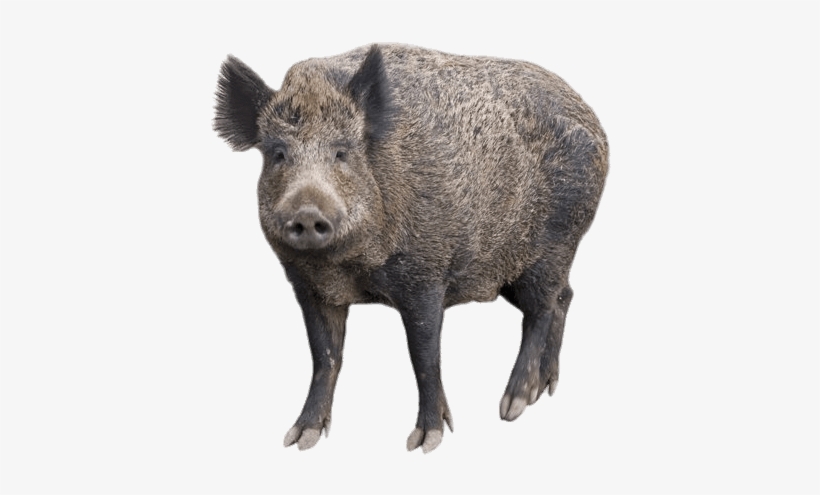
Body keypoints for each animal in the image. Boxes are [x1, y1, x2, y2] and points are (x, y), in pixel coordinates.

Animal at [213, 43, 608, 453]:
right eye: (278, 153)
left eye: (342, 152)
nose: (307, 212)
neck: (348, 267)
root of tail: (596, 123)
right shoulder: (308, 286)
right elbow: (325, 357)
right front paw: (299, 439)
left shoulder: (426, 276)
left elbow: (424, 356)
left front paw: (425, 442)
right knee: (565, 296)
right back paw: (548, 388)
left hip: (552, 247)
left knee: (541, 310)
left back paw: (512, 406)